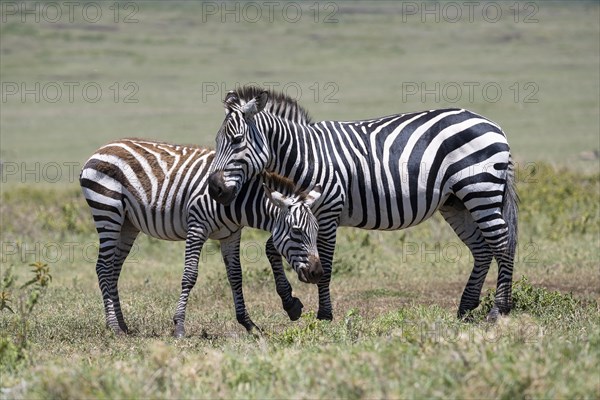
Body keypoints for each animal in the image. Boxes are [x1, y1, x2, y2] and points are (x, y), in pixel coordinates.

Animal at [81, 138, 324, 338]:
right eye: (296, 231)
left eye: (316, 231)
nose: (316, 273)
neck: (237, 200)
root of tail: (102, 148)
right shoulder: (197, 226)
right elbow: (190, 275)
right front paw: (179, 326)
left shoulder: (231, 234)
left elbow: (236, 277)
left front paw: (249, 324)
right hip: (107, 211)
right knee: (103, 267)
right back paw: (114, 327)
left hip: (128, 223)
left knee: (113, 269)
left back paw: (122, 325)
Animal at [209, 86, 516, 322]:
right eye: (217, 140)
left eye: (237, 140)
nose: (214, 188)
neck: (305, 155)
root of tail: (493, 125)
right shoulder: (296, 211)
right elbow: (273, 248)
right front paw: (290, 303)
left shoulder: (327, 213)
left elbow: (325, 264)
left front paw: (325, 315)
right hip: (456, 202)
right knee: (482, 249)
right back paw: (465, 308)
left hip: (480, 189)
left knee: (502, 243)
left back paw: (498, 310)